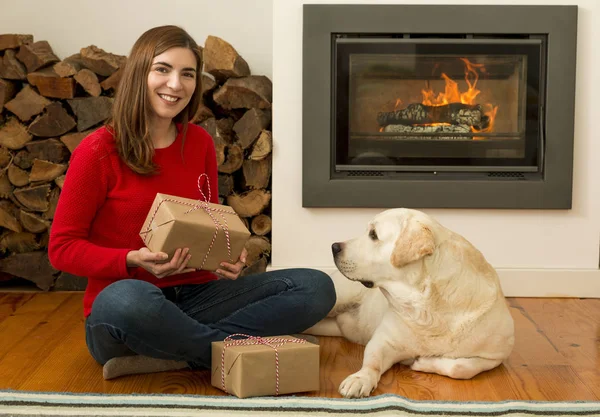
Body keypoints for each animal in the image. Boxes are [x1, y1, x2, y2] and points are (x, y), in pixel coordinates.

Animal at [308, 208, 512, 396]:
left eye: (373, 234)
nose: (334, 247)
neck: (427, 306)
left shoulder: (495, 356)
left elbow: (460, 368)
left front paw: (424, 362)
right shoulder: (383, 341)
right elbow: (372, 363)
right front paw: (360, 379)